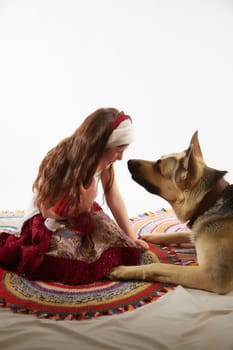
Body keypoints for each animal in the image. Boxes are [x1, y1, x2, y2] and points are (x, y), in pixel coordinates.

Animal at [110, 131, 233, 292]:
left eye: (158, 166)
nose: (129, 161)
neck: (209, 201)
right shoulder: (193, 232)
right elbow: (176, 234)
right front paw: (150, 237)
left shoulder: (211, 276)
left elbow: (158, 266)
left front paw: (123, 270)